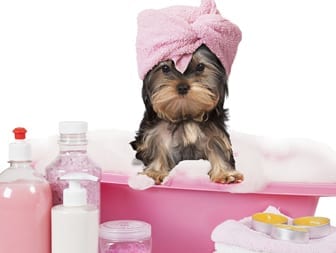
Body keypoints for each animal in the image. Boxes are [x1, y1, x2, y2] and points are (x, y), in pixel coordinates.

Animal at [130, 44, 243, 185]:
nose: (182, 87)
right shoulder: (155, 132)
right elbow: (157, 146)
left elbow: (217, 145)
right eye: (165, 68)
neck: (185, 114)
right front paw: (154, 172)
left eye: (200, 67)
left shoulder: (214, 129)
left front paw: (225, 173)